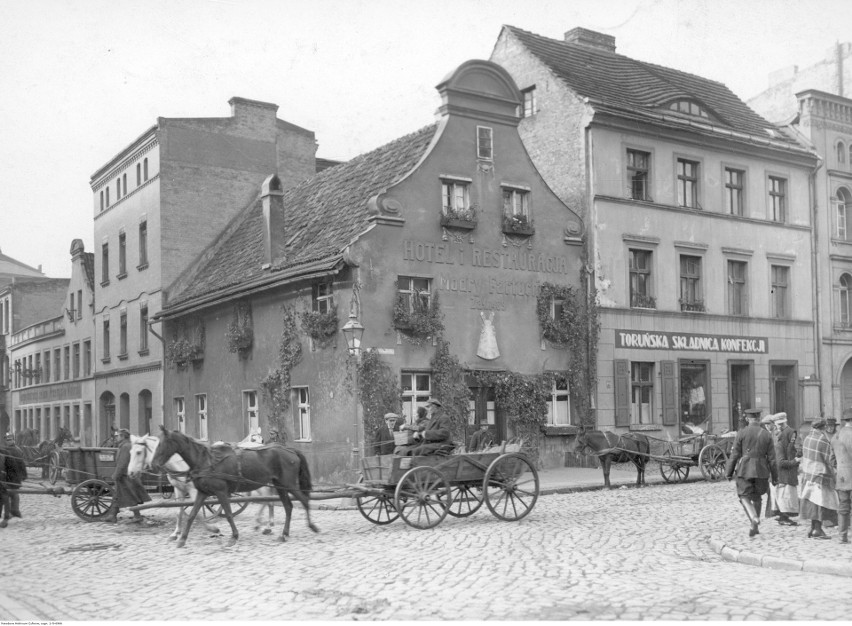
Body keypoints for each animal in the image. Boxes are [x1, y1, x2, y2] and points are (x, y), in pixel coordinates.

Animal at [150, 424, 316, 544]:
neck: (206, 461)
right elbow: (192, 515)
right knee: (288, 506)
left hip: (288, 485)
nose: (153, 464)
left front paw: (234, 536)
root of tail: (290, 450)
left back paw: (311, 526)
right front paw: (182, 539)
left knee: (303, 501)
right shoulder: (203, 493)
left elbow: (229, 514)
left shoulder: (221, 492)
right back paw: (283, 533)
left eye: (162, 444)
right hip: (280, 485)